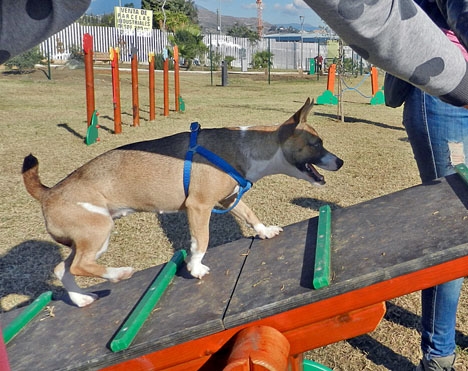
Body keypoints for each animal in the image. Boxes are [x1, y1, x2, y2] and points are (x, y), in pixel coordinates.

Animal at [22, 98, 344, 308]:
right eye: (317, 144)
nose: (340, 162)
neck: (246, 146)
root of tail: (50, 192)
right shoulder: (199, 207)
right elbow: (201, 241)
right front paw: (195, 268)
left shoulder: (230, 198)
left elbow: (250, 214)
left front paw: (264, 231)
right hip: (99, 231)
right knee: (79, 266)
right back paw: (118, 274)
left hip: (89, 237)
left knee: (63, 269)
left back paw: (80, 299)